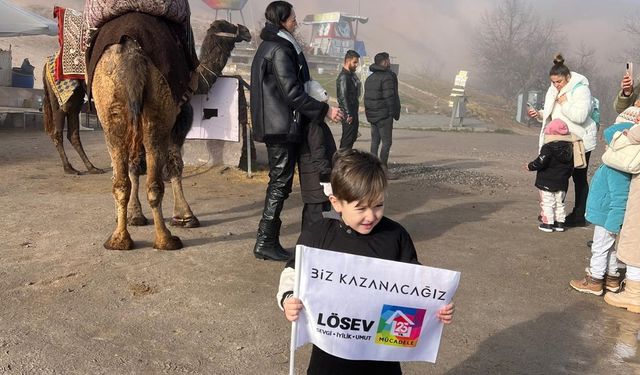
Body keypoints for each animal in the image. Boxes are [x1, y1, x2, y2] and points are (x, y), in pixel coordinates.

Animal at [90, 19, 250, 251]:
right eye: (228, 26)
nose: (246, 32)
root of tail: (132, 56)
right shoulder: (180, 121)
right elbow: (175, 164)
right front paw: (185, 216)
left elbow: (135, 166)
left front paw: (133, 215)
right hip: (158, 109)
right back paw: (165, 238)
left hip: (110, 107)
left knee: (120, 173)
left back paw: (119, 239)